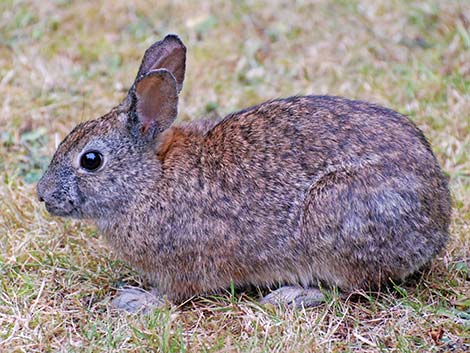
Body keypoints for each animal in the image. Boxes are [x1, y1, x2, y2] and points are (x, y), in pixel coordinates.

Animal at [35, 34, 450, 312]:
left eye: (91, 160)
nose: (42, 194)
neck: (151, 178)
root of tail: (437, 224)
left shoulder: (182, 265)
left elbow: (172, 295)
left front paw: (136, 300)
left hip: (335, 219)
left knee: (354, 286)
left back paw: (291, 295)